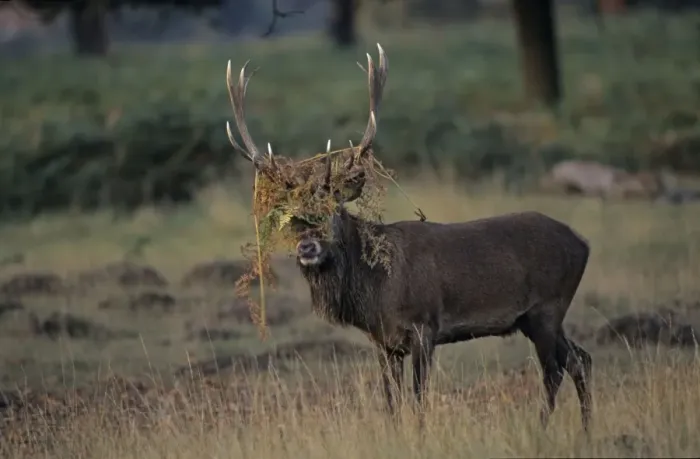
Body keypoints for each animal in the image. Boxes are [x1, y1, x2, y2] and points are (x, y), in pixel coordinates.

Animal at [225, 44, 593, 432]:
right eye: (294, 218)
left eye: (332, 210)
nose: (307, 247)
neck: (375, 291)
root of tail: (583, 244)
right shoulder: (383, 342)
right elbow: (391, 402)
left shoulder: (423, 325)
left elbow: (418, 399)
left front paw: (419, 434)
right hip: (540, 317)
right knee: (581, 359)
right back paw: (586, 429)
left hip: (547, 307)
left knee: (554, 371)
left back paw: (542, 428)